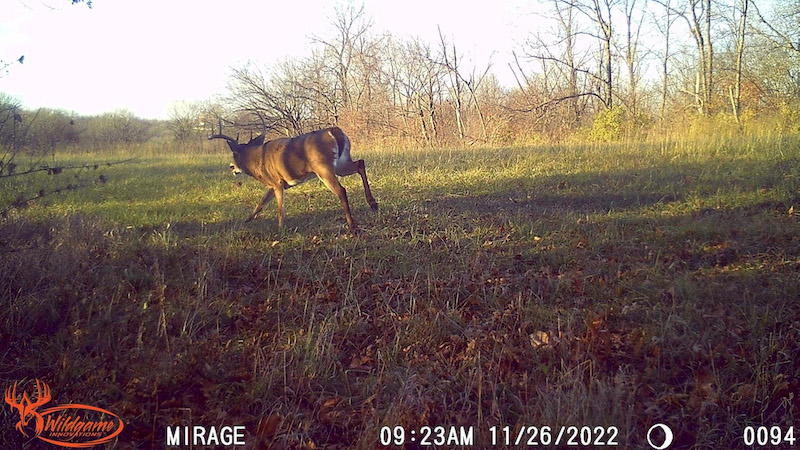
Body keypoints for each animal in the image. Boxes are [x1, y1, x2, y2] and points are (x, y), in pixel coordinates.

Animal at [209, 117, 378, 234]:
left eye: (235, 154)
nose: (232, 167)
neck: (258, 161)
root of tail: (334, 131)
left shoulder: (276, 182)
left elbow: (280, 208)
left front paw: (280, 228)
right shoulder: (276, 184)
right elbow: (261, 204)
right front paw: (247, 220)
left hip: (323, 168)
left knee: (342, 190)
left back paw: (353, 226)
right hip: (340, 164)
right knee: (360, 163)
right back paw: (373, 204)